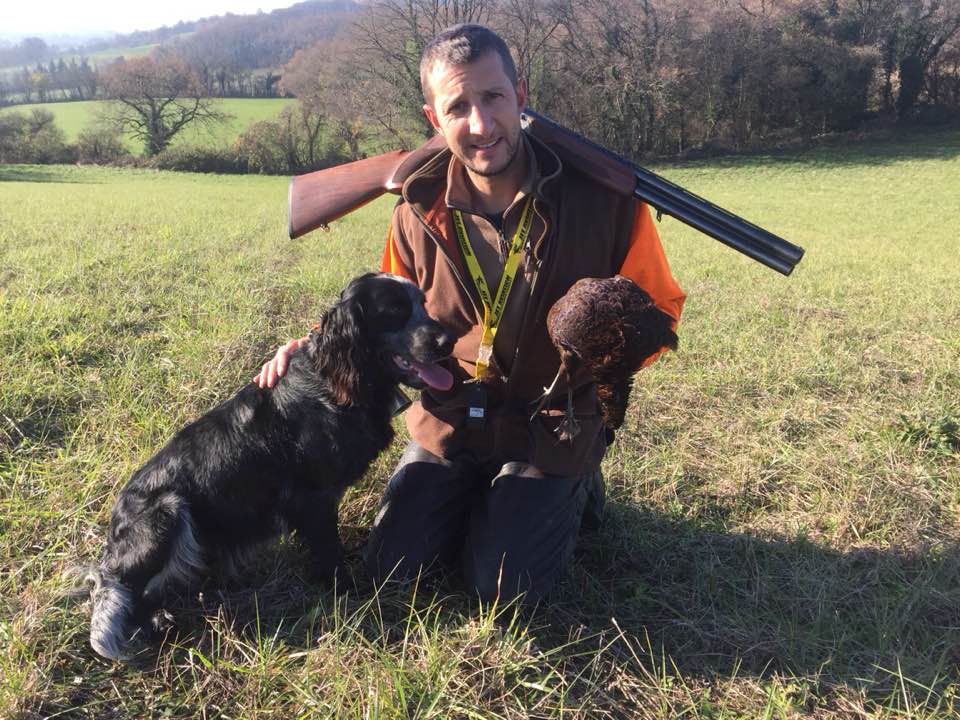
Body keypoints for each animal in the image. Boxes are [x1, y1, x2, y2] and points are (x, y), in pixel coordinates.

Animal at [83, 272, 458, 660]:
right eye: (395, 309)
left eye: (423, 303)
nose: (450, 340)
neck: (331, 383)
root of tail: (115, 525)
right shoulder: (313, 499)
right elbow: (329, 552)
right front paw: (347, 590)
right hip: (168, 512)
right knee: (117, 590)